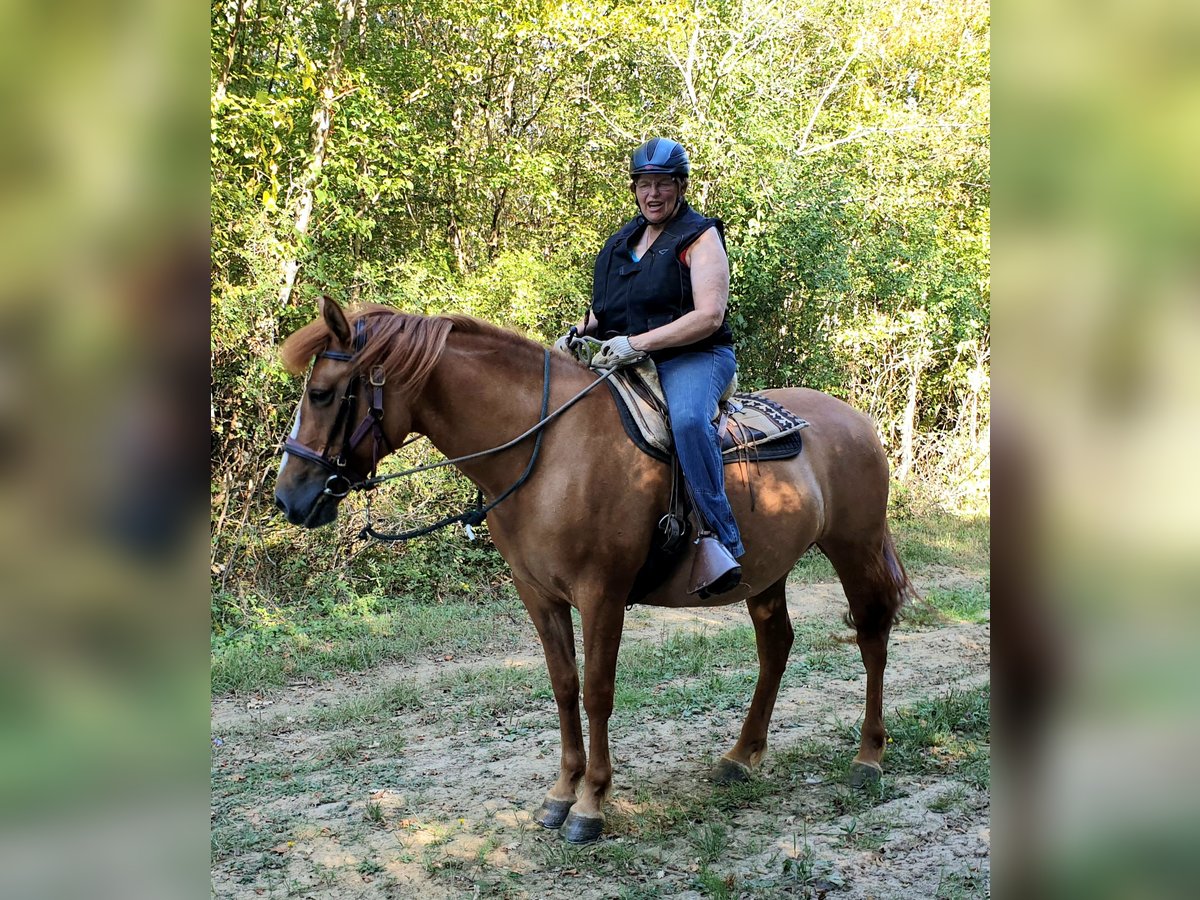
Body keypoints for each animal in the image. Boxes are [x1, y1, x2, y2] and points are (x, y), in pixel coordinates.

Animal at [272, 297, 912, 844]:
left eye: (323, 394)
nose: (288, 499)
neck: (550, 451)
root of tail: (856, 420)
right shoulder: (539, 594)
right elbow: (563, 686)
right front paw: (561, 793)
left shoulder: (601, 594)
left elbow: (598, 692)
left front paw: (591, 803)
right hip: (767, 572)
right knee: (776, 644)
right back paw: (741, 756)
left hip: (854, 547)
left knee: (872, 633)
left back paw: (869, 756)